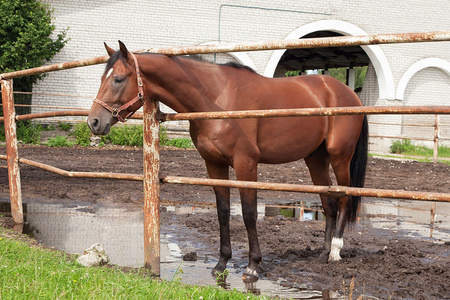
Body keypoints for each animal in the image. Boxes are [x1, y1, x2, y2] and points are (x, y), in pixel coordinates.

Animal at [87, 41, 366, 278]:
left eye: (118, 79)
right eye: (102, 77)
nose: (94, 122)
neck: (216, 98)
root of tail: (347, 93)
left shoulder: (246, 164)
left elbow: (249, 213)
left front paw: (253, 265)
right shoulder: (214, 164)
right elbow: (222, 211)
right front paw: (222, 263)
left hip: (340, 156)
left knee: (344, 197)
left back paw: (336, 252)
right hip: (315, 159)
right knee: (329, 203)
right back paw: (323, 254)